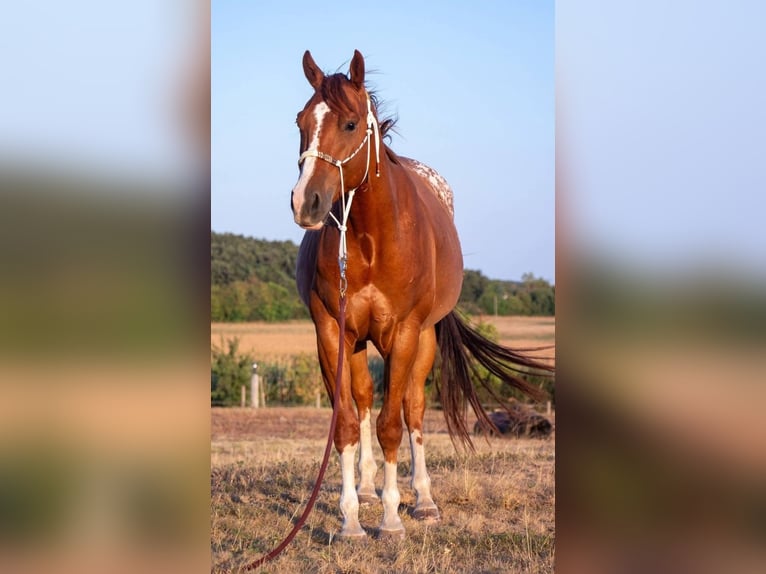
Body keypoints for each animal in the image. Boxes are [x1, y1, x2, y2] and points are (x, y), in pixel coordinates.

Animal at [291, 49, 553, 540]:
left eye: (351, 124)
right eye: (300, 121)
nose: (305, 202)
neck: (371, 239)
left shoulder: (405, 333)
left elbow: (393, 425)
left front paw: (392, 518)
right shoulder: (331, 332)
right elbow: (347, 424)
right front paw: (350, 519)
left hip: (425, 338)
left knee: (413, 408)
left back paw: (423, 500)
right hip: (359, 342)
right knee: (364, 400)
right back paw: (368, 489)